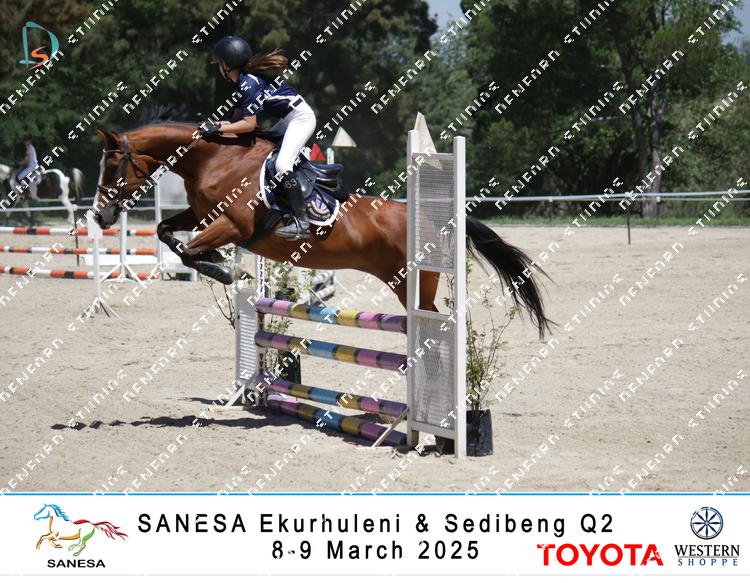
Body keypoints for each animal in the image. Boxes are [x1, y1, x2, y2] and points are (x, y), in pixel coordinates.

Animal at [92, 119, 551, 337]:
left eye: (112, 167)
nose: (99, 216)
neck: (214, 160)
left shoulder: (232, 223)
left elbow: (190, 249)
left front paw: (223, 268)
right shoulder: (201, 214)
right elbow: (167, 233)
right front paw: (219, 262)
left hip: (413, 282)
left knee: (432, 319)